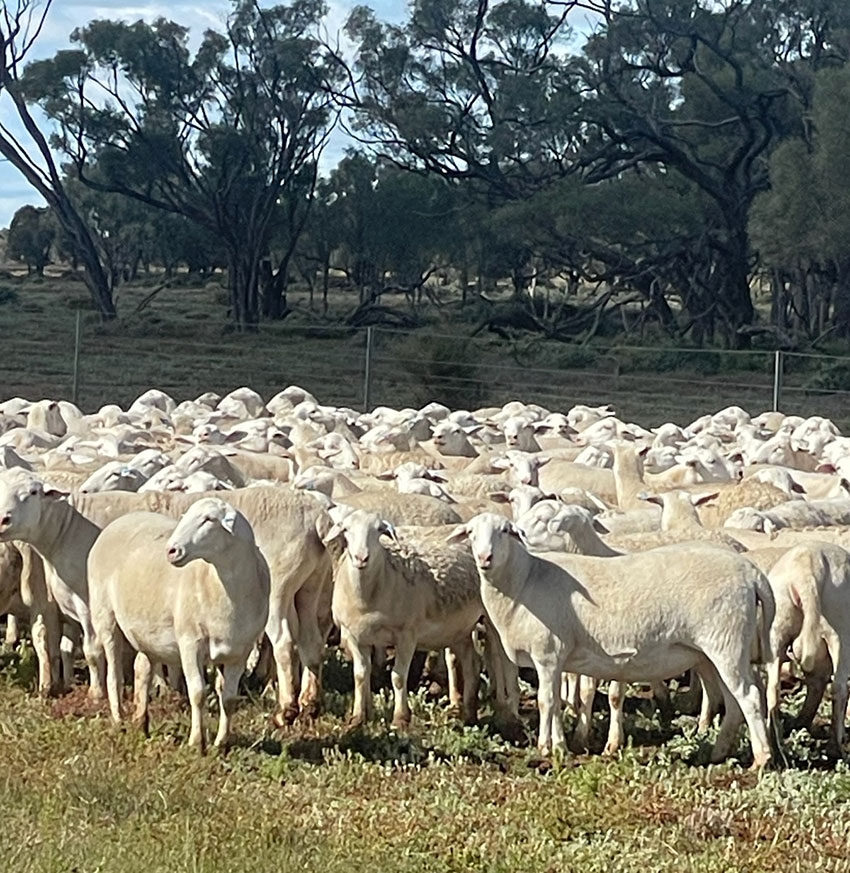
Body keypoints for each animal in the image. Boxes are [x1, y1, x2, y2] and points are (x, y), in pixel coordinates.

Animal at [88, 498, 270, 750]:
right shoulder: (189, 642)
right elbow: (198, 693)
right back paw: (119, 721)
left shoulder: (239, 652)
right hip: (105, 617)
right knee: (114, 675)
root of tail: (120, 520)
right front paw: (197, 742)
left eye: (208, 519)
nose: (171, 551)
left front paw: (221, 743)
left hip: (147, 631)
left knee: (141, 669)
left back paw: (141, 723)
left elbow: (229, 699)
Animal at [321, 509, 483, 728]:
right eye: (346, 529)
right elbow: (360, 675)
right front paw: (358, 717)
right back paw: (469, 715)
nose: (361, 557)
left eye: (378, 530)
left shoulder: (406, 635)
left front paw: (400, 719)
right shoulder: (354, 636)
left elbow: (398, 677)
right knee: (471, 663)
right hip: (460, 627)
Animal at [448, 513, 775, 767]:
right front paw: (560, 746)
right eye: (471, 533)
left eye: (505, 531)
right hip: (715, 650)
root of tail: (751, 572)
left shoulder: (548, 653)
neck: (525, 580)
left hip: (726, 641)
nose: (485, 558)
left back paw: (762, 759)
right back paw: (719, 752)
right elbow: (558, 704)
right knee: (733, 700)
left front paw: (546, 747)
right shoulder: (558, 659)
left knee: (748, 696)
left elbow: (546, 701)